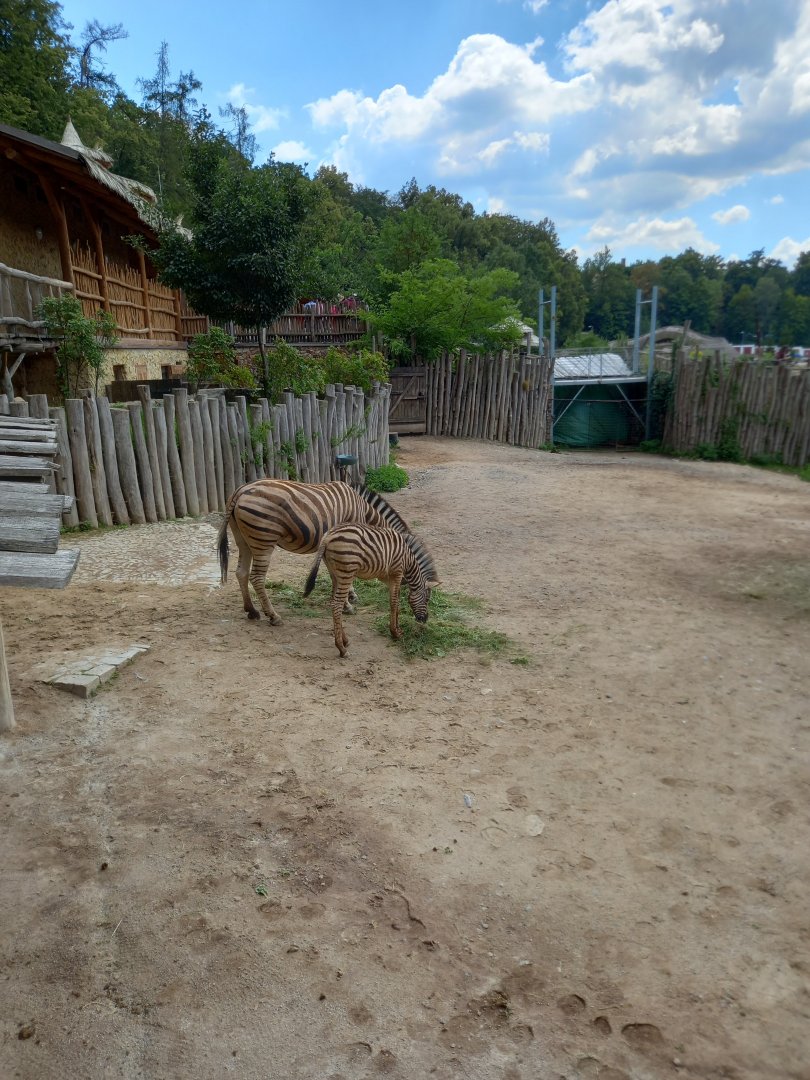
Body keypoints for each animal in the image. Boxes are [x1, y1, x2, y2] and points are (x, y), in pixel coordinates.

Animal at [217, 479, 411, 625]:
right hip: (263, 538)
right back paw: (273, 616)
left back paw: (251, 610)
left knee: (241, 572)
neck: (363, 512)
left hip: (243, 539)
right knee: (256, 577)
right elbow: (341, 576)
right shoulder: (346, 541)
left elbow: (335, 576)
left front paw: (346, 598)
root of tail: (241, 490)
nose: (402, 584)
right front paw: (348, 602)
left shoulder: (331, 544)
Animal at [303, 523, 440, 657]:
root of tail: (327, 536)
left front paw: (398, 629)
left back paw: (345, 640)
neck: (408, 559)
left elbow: (396, 602)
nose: (424, 620)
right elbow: (394, 602)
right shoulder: (396, 572)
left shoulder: (387, 577)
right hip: (347, 572)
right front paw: (395, 633)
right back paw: (342, 649)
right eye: (427, 599)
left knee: (333, 601)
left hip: (335, 573)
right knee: (337, 604)